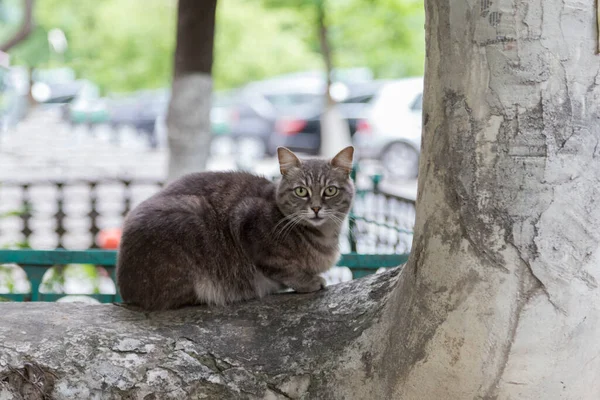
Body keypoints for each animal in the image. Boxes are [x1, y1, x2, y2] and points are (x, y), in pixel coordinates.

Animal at [115, 145, 354, 310]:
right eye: (301, 191)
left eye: (330, 190)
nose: (316, 208)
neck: (324, 236)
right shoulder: (247, 223)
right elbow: (284, 268)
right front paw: (309, 281)